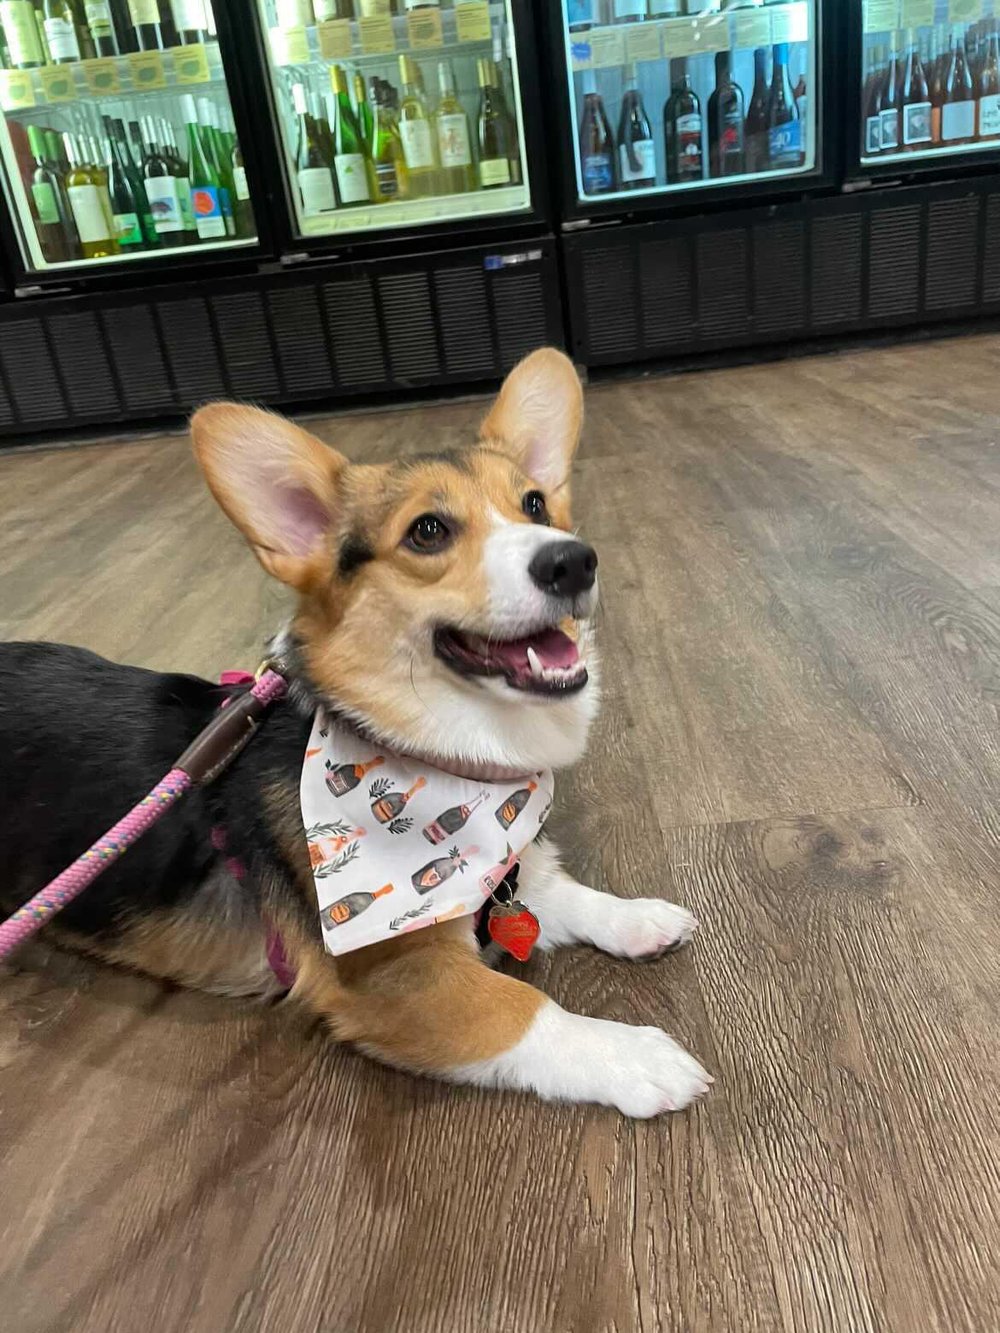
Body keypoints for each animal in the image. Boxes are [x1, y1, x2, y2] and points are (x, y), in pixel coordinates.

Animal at [0, 351, 714, 1114]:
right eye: (428, 531)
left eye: (534, 505)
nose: (573, 559)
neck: (430, 755)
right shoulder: (392, 980)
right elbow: (523, 1011)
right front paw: (636, 1055)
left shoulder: (500, 875)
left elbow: (558, 890)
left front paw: (639, 919)